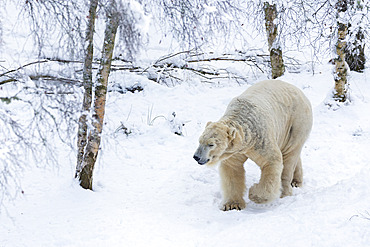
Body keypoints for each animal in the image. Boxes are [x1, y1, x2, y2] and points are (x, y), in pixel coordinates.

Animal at [194, 80, 312, 211]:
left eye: (211, 144)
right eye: (199, 141)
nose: (196, 157)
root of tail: (300, 92)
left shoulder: (261, 139)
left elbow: (272, 161)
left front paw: (253, 193)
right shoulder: (236, 150)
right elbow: (232, 168)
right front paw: (232, 205)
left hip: (296, 123)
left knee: (290, 156)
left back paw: (285, 191)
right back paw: (296, 181)